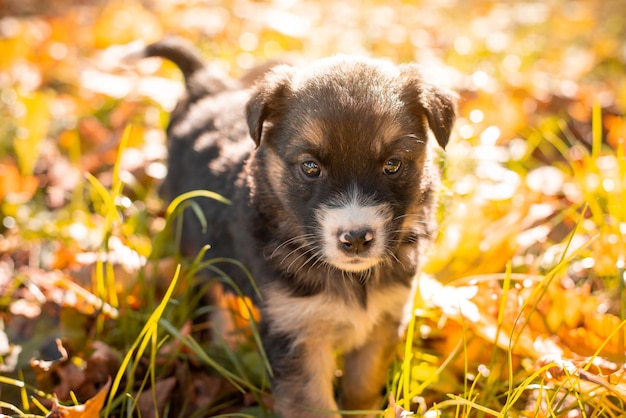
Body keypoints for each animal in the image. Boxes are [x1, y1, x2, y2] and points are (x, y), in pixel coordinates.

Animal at [130, 36, 454, 418]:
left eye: (392, 165)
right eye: (310, 167)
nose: (356, 239)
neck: (352, 279)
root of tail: (204, 87)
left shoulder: (384, 319)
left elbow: (362, 390)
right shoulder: (296, 333)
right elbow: (314, 406)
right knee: (214, 289)